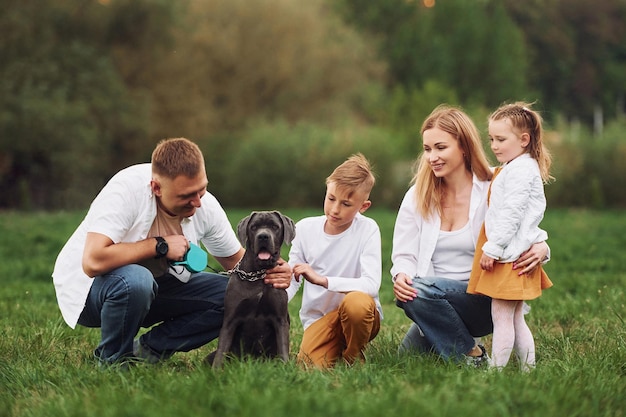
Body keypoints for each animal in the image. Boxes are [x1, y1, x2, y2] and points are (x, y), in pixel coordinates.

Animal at [212, 211, 294, 368]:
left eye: (275, 226)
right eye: (254, 227)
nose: (263, 236)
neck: (258, 275)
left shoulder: (280, 319)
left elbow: (283, 348)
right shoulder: (230, 320)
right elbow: (221, 350)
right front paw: (216, 371)